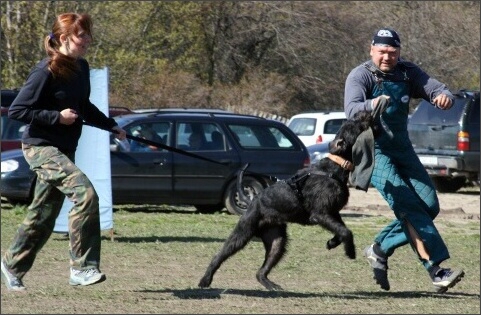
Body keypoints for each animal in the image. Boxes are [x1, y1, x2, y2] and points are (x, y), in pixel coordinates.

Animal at [197, 110, 374, 292]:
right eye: (352, 125)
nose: (364, 112)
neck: (335, 167)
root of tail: (252, 201)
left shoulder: (333, 213)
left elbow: (341, 230)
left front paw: (332, 243)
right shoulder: (321, 214)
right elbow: (346, 231)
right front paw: (350, 251)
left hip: (277, 241)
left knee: (261, 271)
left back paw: (270, 285)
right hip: (242, 233)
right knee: (219, 254)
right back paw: (205, 280)